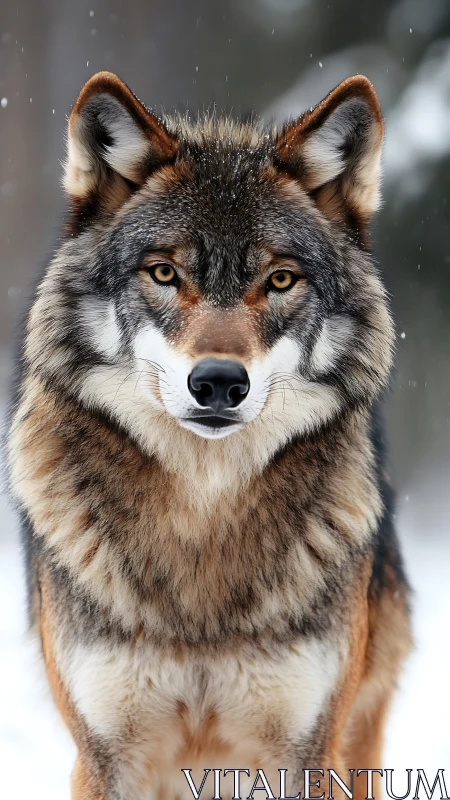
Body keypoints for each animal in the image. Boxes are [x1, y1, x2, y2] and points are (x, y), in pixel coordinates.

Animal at [7, 71, 412, 799]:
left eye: (279, 279)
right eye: (165, 273)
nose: (220, 382)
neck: (203, 517)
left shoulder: (308, 755)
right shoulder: (103, 758)